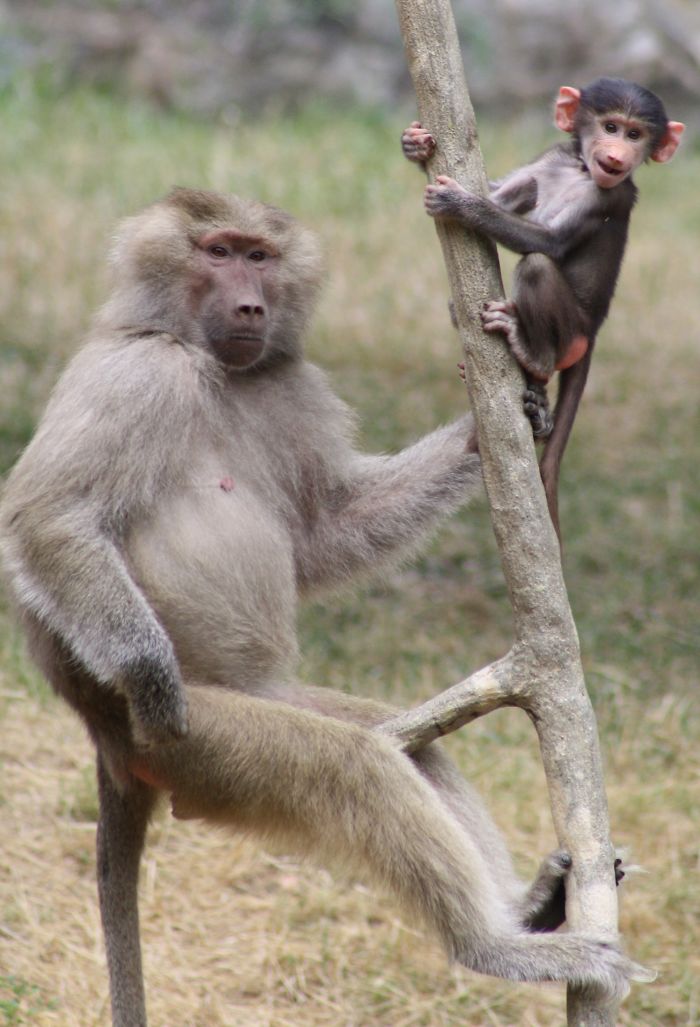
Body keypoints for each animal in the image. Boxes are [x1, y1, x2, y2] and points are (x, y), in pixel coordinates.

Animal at [0, 188, 650, 1027]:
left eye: (260, 256)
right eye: (217, 251)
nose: (250, 302)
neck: (214, 365)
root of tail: (106, 742)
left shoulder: (288, 389)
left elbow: (322, 533)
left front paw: (496, 426)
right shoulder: (136, 373)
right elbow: (48, 516)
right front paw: (148, 669)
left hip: (265, 704)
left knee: (401, 742)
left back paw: (524, 905)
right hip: (194, 747)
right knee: (354, 765)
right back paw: (493, 945)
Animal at [402, 77, 684, 536]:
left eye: (635, 134)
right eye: (610, 126)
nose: (617, 152)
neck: (581, 169)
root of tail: (593, 331)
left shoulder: (610, 197)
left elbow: (547, 242)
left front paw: (460, 205)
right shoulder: (550, 158)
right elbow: (501, 193)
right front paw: (413, 143)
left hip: (570, 328)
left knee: (536, 267)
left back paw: (532, 355)